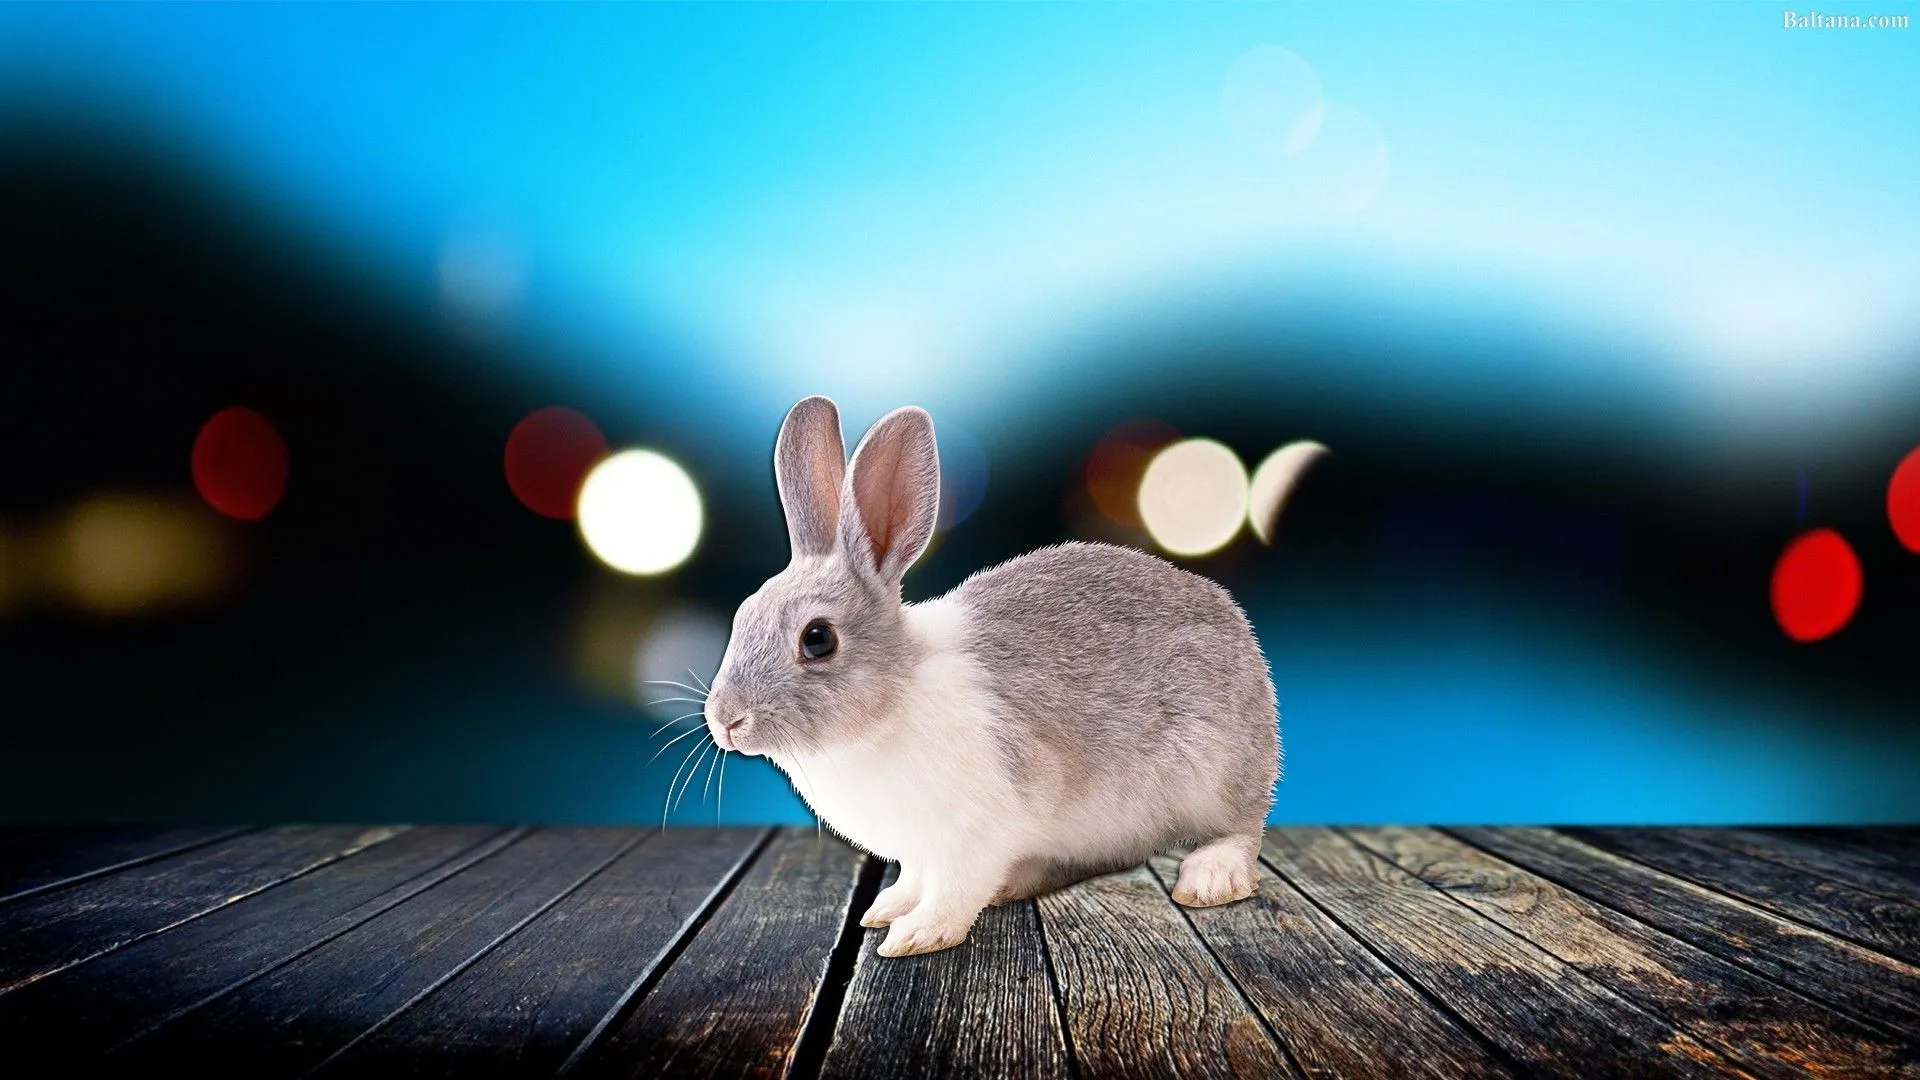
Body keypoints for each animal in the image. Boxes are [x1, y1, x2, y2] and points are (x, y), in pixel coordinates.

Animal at [703, 396, 1303, 957]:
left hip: (1217, 774)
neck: (894, 697)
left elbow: (952, 890)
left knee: (1242, 831)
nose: (726, 721)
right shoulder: (921, 849)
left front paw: (915, 935)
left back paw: (1210, 878)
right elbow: (915, 880)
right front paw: (886, 909)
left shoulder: (975, 832)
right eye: (743, 614)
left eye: (817, 639)